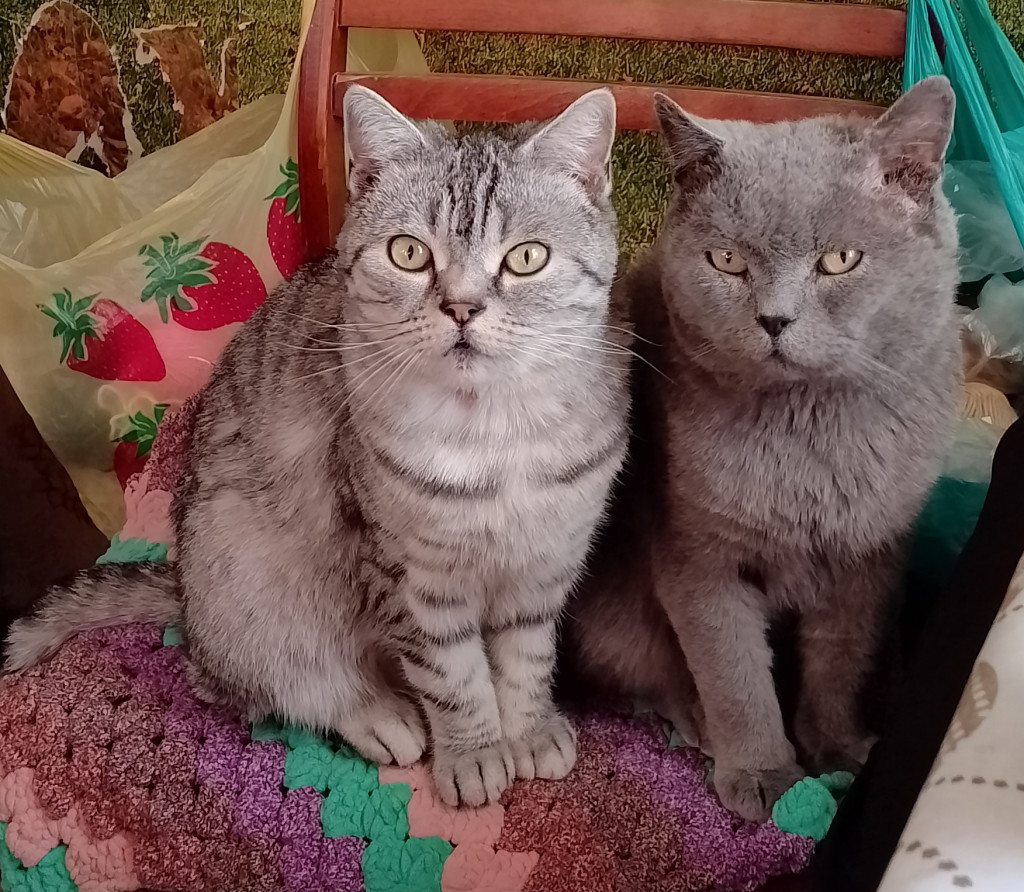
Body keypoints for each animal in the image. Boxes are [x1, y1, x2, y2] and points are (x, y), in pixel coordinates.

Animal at [4, 85, 631, 808]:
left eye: (527, 258)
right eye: (409, 253)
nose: (462, 308)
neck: (494, 432)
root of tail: (183, 593)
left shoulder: (544, 563)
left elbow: (526, 660)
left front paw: (526, 729)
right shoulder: (407, 575)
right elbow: (453, 675)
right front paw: (473, 752)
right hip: (243, 573)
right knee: (263, 682)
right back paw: (375, 713)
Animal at [568, 77, 961, 821]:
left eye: (839, 260)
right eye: (728, 261)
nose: (774, 319)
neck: (806, 439)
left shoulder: (869, 557)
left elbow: (841, 658)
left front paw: (835, 751)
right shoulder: (698, 556)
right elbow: (733, 672)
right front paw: (762, 772)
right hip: (616, 608)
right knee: (650, 669)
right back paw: (695, 721)